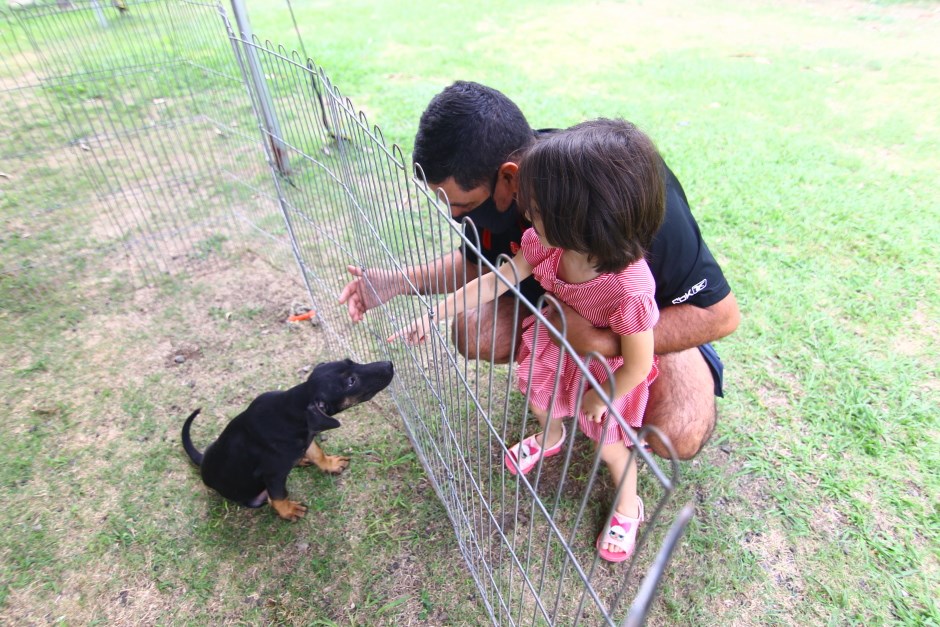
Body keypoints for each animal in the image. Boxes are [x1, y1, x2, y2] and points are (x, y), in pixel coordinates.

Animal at [182, 358, 394, 520]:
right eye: (351, 381)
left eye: (350, 361)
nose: (389, 364)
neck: (293, 407)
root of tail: (202, 462)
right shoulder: (273, 474)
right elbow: (278, 497)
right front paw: (289, 511)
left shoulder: (307, 436)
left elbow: (316, 452)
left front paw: (330, 464)